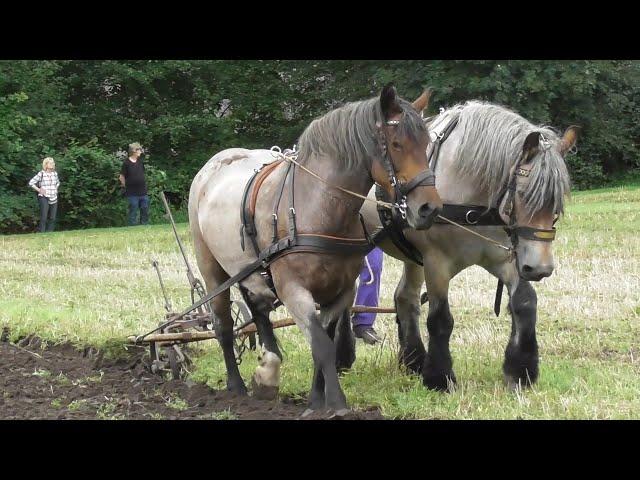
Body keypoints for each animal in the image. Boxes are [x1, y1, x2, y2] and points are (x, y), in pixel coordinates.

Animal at [188, 84, 442, 414]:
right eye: (397, 144)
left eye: (426, 144)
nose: (429, 208)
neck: (317, 208)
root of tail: (214, 164)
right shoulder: (293, 290)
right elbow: (321, 345)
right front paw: (337, 404)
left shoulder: (341, 290)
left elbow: (325, 342)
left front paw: (316, 399)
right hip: (212, 270)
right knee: (223, 326)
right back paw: (236, 386)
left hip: (249, 269)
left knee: (258, 311)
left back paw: (268, 373)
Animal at [342, 100, 576, 390]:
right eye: (524, 194)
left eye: (558, 201)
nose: (540, 268)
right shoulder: (436, 261)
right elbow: (440, 318)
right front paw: (440, 378)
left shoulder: (505, 258)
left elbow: (525, 303)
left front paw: (521, 370)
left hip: (412, 257)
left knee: (405, 298)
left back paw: (413, 361)